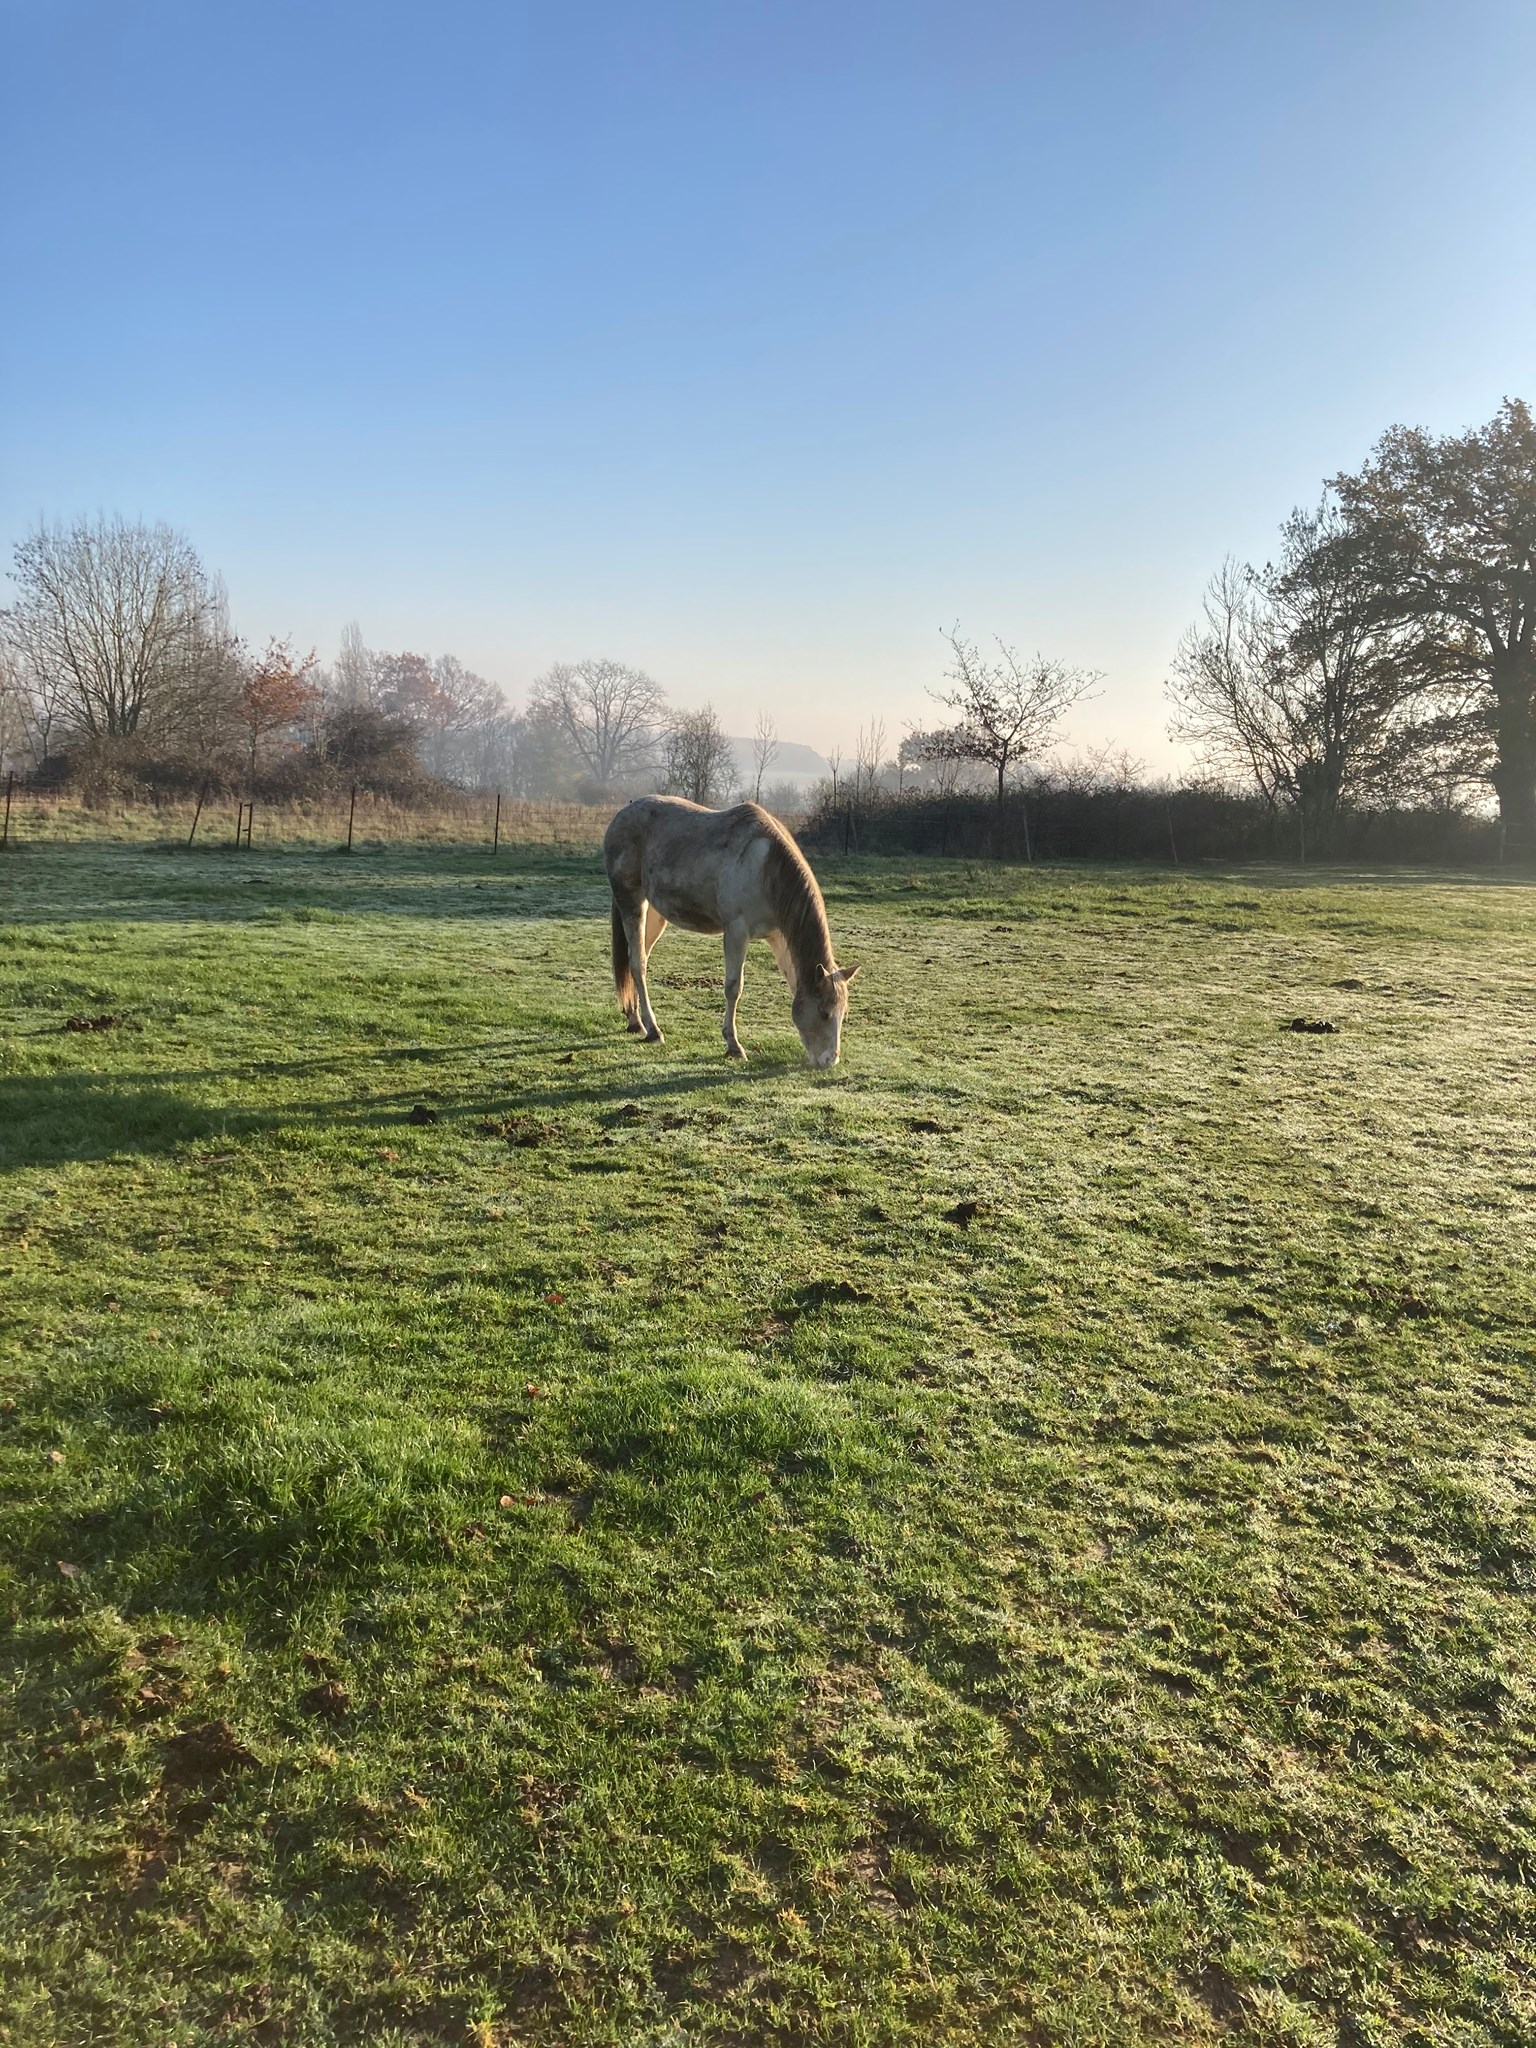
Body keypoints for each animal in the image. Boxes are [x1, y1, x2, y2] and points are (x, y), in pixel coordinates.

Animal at [606, 790, 868, 1064]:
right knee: (637, 964)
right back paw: (652, 1029)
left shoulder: (778, 936)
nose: (830, 1060)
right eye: (824, 1012)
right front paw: (733, 1045)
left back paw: (634, 1020)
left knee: (637, 959)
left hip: (655, 916)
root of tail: (622, 814)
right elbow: (734, 987)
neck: (765, 868)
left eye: (843, 1013)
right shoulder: (736, 931)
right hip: (632, 903)